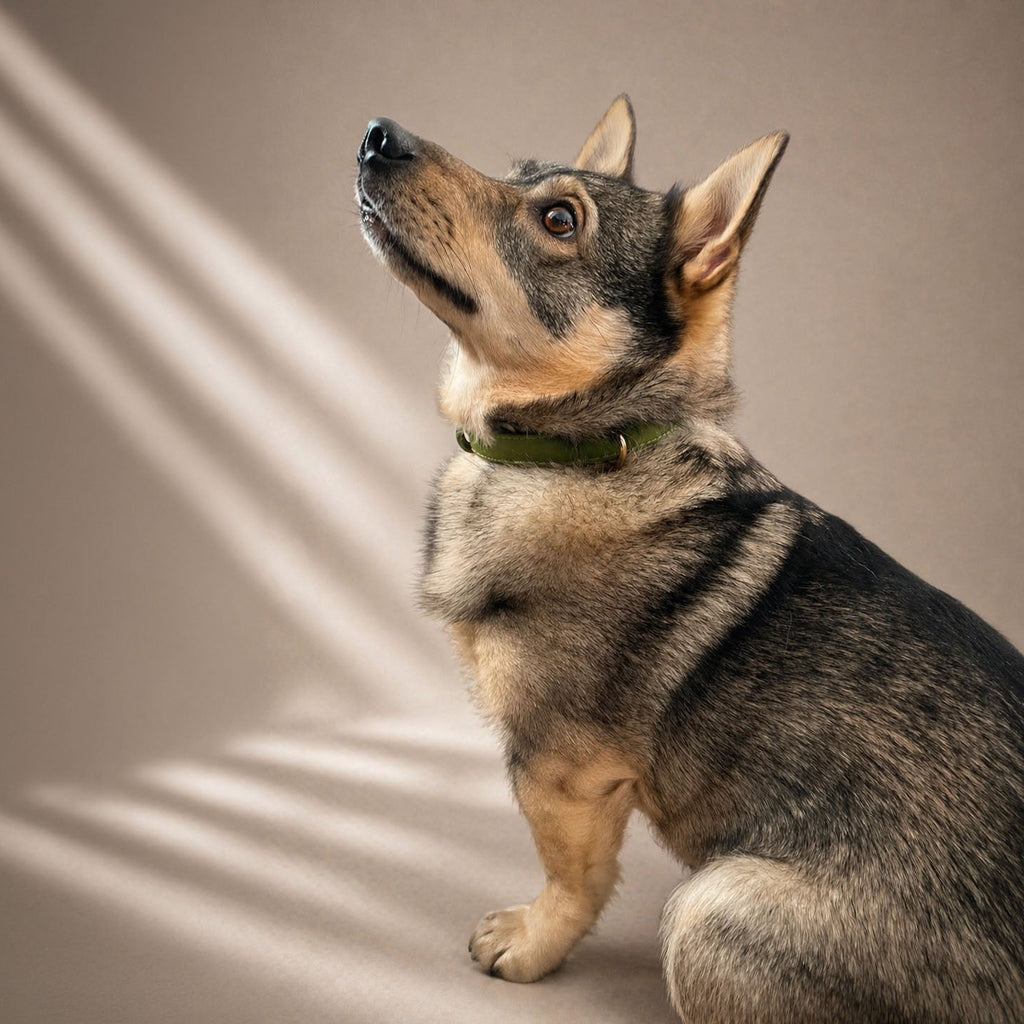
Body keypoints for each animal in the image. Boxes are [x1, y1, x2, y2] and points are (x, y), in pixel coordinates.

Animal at [356, 96, 1024, 1023]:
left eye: (558, 220)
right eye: (516, 173)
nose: (378, 136)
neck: (584, 450)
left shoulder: (561, 772)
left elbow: (572, 881)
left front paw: (531, 945)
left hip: (709, 912)